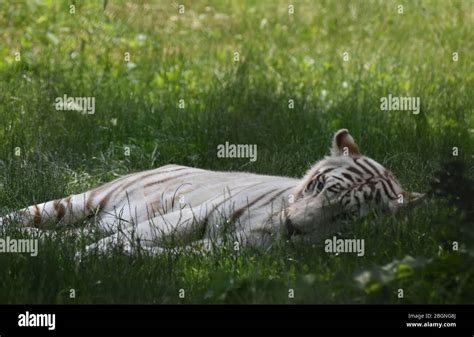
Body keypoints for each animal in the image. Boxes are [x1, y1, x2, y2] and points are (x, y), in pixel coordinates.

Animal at [0, 130, 422, 253]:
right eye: (318, 187)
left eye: (346, 215)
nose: (292, 227)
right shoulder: (193, 213)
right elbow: (141, 234)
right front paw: (87, 259)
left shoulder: (225, 250)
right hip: (74, 203)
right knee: (21, 216)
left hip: (92, 220)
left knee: (64, 236)